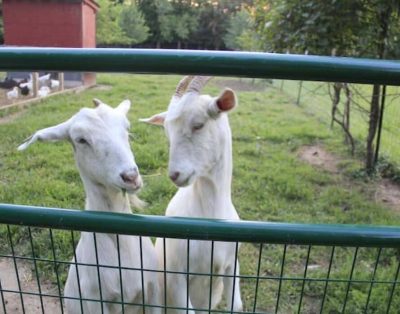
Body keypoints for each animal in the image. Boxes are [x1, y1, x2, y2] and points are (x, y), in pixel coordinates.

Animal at [142, 76, 242, 314]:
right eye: (167, 132)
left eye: (198, 124)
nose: (175, 175)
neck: (211, 217)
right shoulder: (177, 275)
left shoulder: (231, 265)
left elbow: (236, 305)